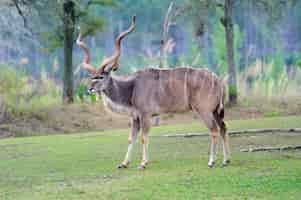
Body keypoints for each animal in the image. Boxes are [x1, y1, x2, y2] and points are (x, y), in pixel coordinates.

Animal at [76, 15, 229, 170]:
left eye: (101, 76)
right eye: (92, 77)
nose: (90, 89)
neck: (131, 87)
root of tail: (218, 80)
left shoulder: (145, 115)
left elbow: (144, 137)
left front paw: (143, 163)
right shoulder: (135, 118)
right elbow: (131, 138)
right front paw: (124, 164)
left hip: (204, 110)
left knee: (214, 130)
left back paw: (211, 162)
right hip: (215, 111)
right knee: (223, 128)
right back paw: (225, 161)